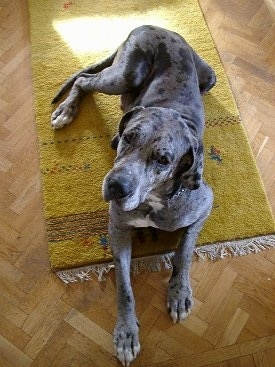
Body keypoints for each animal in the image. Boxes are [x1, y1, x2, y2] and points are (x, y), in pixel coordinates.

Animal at [51, 25, 216, 366]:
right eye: (129, 137)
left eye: (163, 160)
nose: (116, 186)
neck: (154, 200)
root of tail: (155, 26)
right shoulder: (118, 228)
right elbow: (124, 286)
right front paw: (126, 333)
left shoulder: (206, 204)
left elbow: (184, 251)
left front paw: (179, 292)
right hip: (127, 73)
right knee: (84, 80)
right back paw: (66, 111)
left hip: (209, 77)